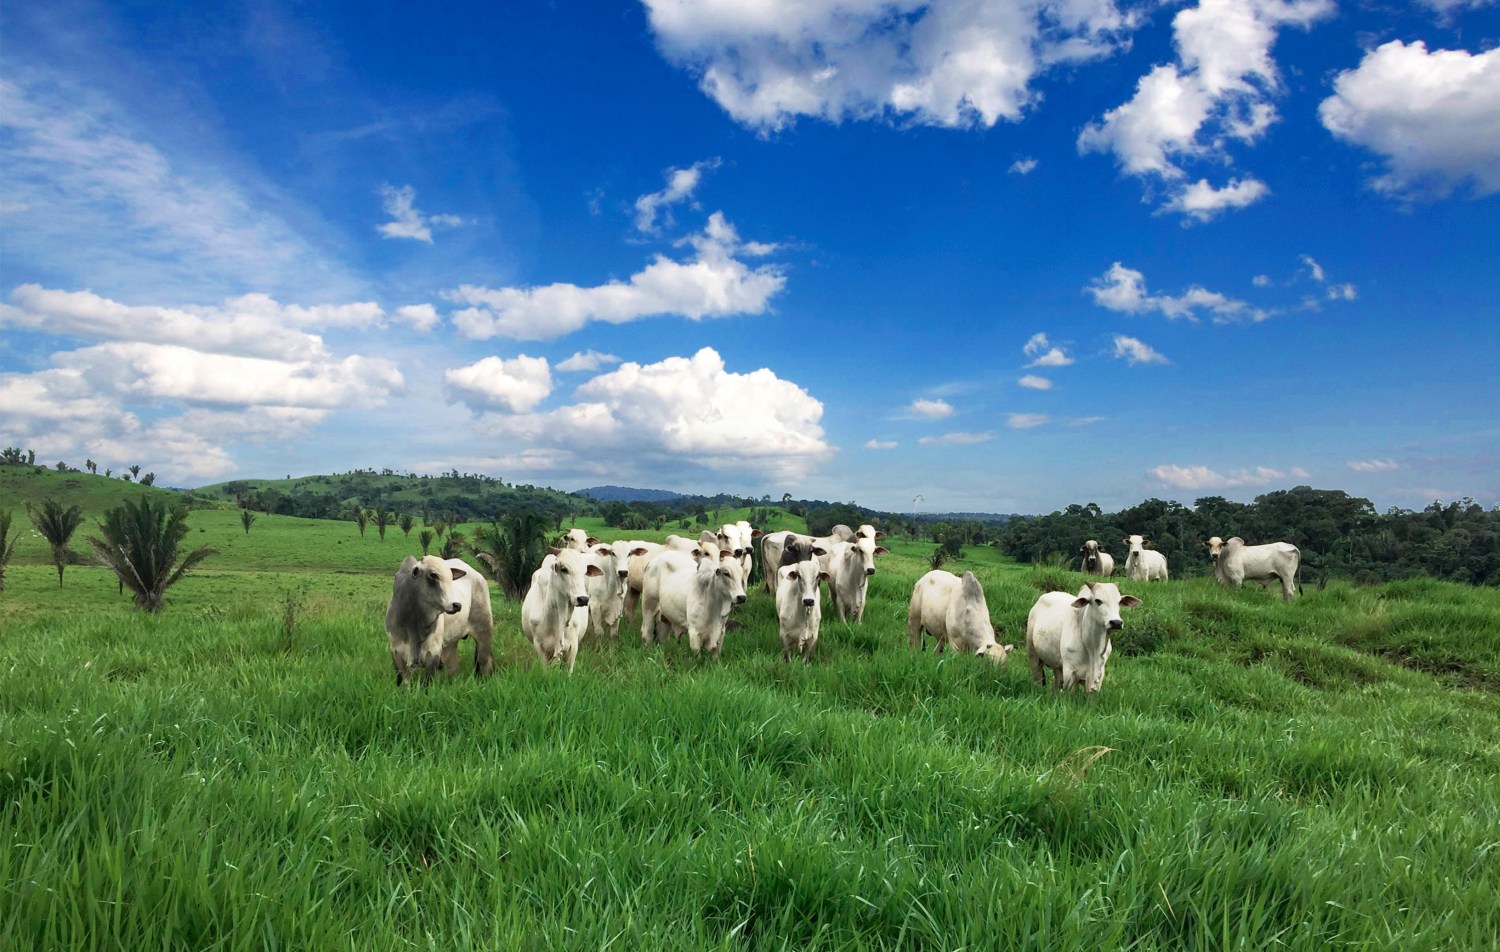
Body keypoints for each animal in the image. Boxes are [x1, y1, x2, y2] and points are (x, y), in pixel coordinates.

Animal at [384, 554, 495, 689]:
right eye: (433, 575)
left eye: (451, 578)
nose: (457, 605)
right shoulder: (396, 652)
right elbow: (404, 684)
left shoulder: (433, 653)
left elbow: (427, 684)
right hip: (451, 644)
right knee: (453, 667)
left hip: (484, 634)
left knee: (485, 663)